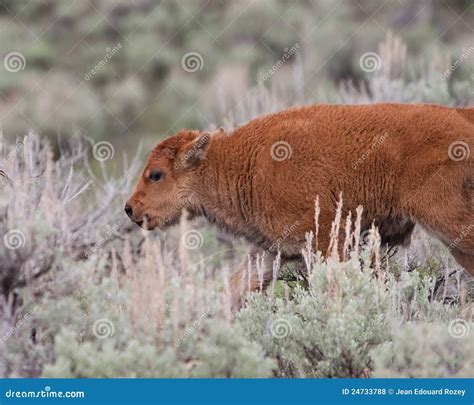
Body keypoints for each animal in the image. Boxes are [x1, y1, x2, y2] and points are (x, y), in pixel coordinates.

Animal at [126, 103, 474, 306]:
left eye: (156, 174)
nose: (130, 209)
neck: (246, 164)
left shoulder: (324, 241)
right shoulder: (270, 249)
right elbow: (236, 287)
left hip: (449, 222)